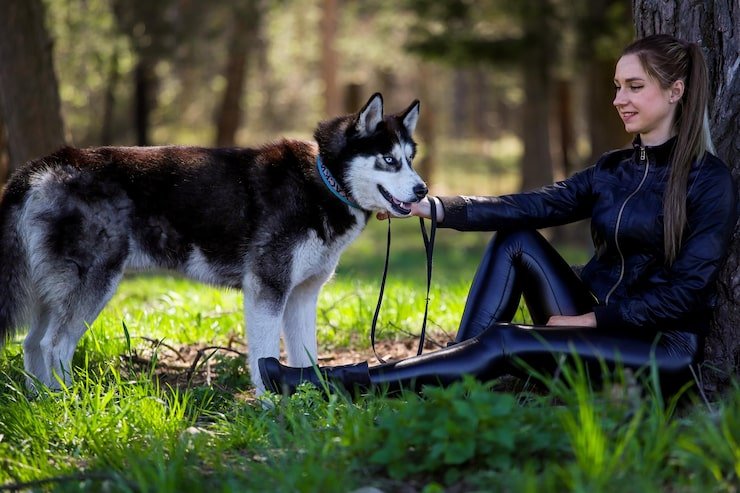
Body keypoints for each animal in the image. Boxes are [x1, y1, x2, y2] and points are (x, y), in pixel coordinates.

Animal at [0, 93, 427, 393]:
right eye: (389, 160)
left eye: (410, 158)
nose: (423, 189)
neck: (323, 181)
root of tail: (44, 165)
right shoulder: (267, 289)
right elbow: (264, 358)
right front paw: (271, 403)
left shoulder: (302, 295)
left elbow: (306, 355)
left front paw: (313, 398)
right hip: (93, 286)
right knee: (53, 346)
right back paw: (69, 401)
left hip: (54, 294)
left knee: (32, 344)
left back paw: (43, 400)